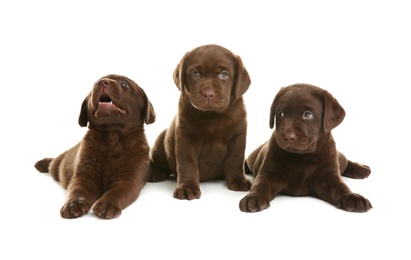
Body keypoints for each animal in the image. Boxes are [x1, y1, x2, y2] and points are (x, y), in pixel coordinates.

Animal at [33, 74, 156, 218]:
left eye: (124, 84)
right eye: (95, 83)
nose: (102, 82)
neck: (112, 139)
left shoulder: (129, 180)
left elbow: (117, 192)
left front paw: (107, 204)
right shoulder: (84, 176)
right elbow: (77, 189)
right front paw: (73, 204)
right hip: (56, 167)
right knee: (52, 164)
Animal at [146, 44, 253, 199]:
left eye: (224, 74)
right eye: (195, 73)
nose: (208, 93)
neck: (213, 115)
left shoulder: (238, 136)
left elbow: (235, 160)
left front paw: (239, 180)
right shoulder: (186, 137)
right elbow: (187, 164)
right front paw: (187, 187)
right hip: (161, 140)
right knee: (158, 159)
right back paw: (155, 172)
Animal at [241, 84, 374, 212]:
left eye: (308, 114)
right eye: (281, 114)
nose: (288, 137)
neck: (303, 156)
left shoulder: (329, 177)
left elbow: (341, 188)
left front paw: (352, 197)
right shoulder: (270, 173)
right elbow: (260, 184)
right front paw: (253, 197)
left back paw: (361, 168)